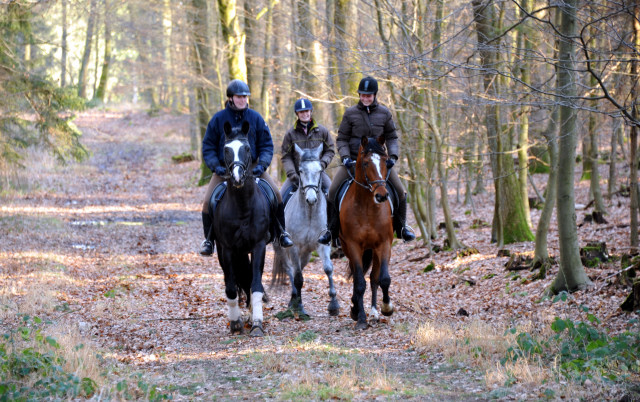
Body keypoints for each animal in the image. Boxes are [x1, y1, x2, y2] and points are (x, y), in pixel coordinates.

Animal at [211, 120, 268, 336]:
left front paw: (257, 323)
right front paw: (235, 323)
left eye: (247, 148)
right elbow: (230, 287)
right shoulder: (226, 249)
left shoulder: (259, 245)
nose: (237, 177)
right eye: (226, 149)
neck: (243, 206)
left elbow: (256, 284)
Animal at [272, 144, 340, 318]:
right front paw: (300, 307)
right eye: (301, 171)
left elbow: (328, 269)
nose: (311, 199)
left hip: (307, 253)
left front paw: (334, 305)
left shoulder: (323, 244)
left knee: (299, 268)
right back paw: (294, 300)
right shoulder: (294, 247)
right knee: (290, 270)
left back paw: (293, 299)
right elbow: (298, 278)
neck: (309, 213)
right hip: (282, 249)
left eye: (320, 170)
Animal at [340, 135, 396, 330]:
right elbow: (359, 283)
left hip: (374, 250)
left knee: (374, 278)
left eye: (386, 161)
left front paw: (387, 308)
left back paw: (374, 313)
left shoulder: (384, 244)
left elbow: (383, 279)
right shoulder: (354, 246)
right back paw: (358, 310)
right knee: (359, 277)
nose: (382, 195)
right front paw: (360, 318)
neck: (367, 208)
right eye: (365, 163)